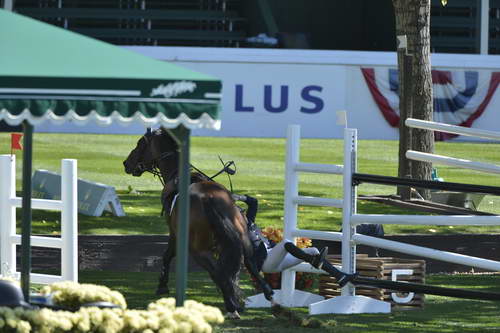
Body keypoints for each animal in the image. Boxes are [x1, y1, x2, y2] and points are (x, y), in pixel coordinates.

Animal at [122, 126, 274, 316]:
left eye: (140, 143)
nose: (126, 163)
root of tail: (209, 199)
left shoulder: (174, 233)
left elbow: (167, 255)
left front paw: (162, 285)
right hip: (242, 239)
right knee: (247, 262)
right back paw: (264, 293)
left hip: (198, 250)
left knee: (217, 272)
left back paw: (231, 305)